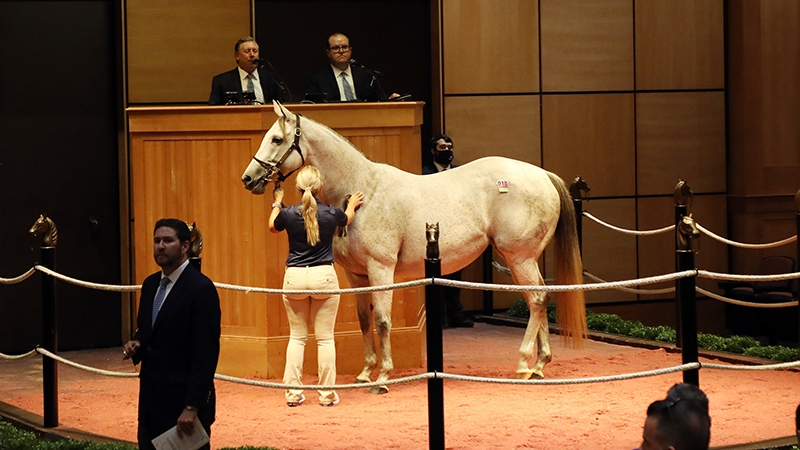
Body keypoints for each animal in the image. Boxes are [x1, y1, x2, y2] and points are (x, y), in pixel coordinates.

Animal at [241, 101, 584, 390]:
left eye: (276, 139)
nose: (248, 178)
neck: (362, 191)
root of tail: (542, 174)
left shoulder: (381, 270)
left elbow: (382, 321)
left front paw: (382, 377)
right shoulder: (356, 275)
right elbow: (365, 321)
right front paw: (365, 373)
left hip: (519, 257)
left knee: (536, 299)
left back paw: (524, 363)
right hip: (524, 260)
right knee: (539, 298)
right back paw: (539, 365)